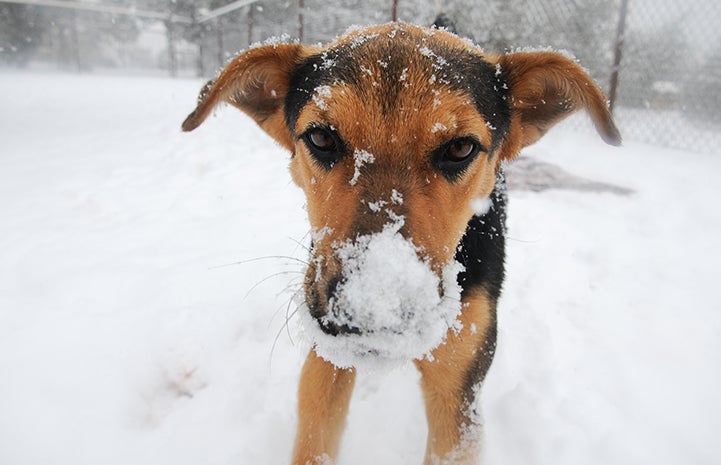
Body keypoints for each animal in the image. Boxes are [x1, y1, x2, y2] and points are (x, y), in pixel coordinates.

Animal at [181, 21, 620, 464]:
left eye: (460, 148)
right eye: (321, 138)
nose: (372, 310)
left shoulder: (457, 393)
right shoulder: (326, 359)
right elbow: (314, 440)